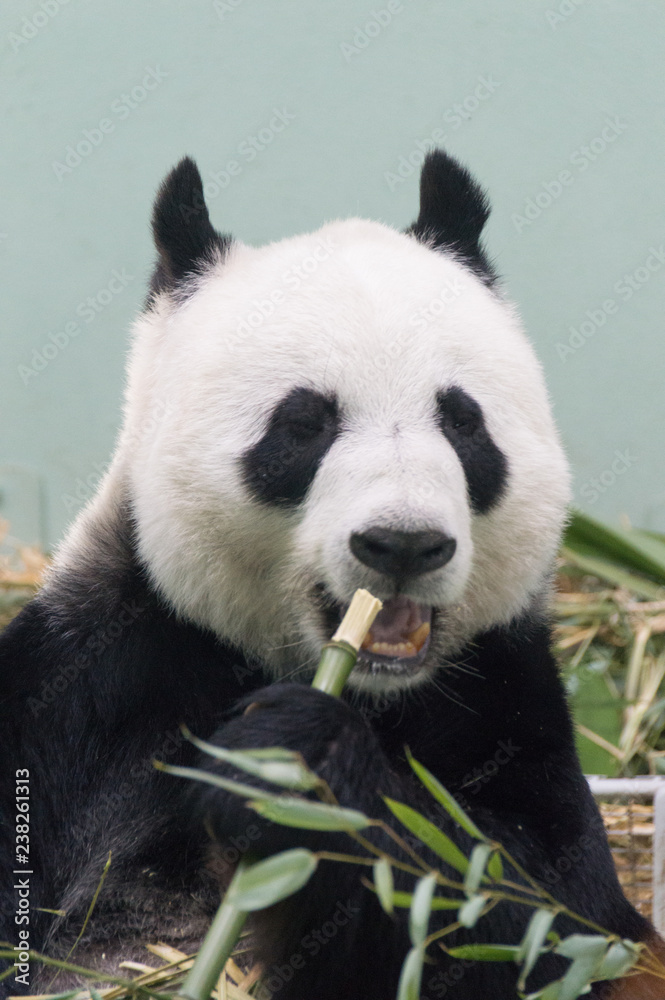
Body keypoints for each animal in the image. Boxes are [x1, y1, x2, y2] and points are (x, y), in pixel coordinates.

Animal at [1, 150, 664, 1000]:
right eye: (304, 424)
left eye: (462, 421)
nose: (403, 543)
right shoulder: (86, 691)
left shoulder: (504, 702)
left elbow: (534, 921)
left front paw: (289, 760)